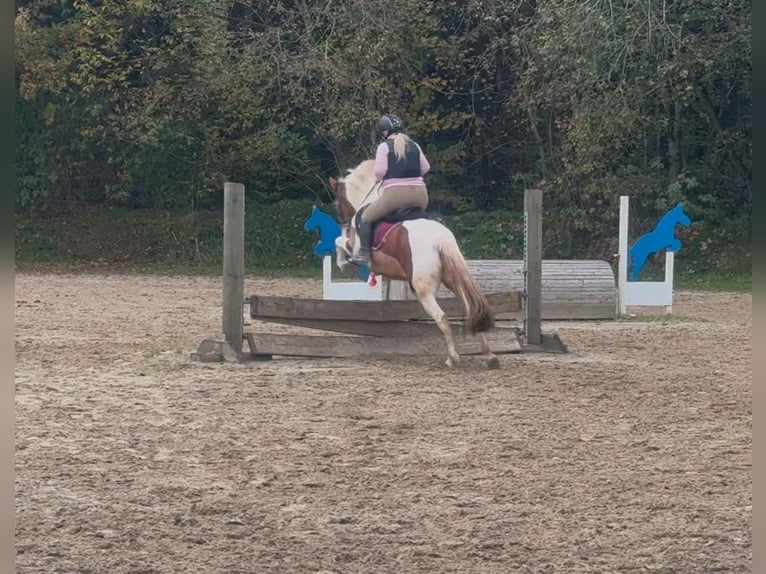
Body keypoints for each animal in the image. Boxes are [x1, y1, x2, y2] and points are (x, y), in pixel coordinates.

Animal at [330, 160, 504, 372]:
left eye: (337, 202)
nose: (344, 222)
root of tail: (439, 238)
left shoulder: (352, 245)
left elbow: (338, 241)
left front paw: (343, 264)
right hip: (453, 280)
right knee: (471, 309)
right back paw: (490, 356)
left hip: (422, 290)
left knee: (442, 317)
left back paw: (452, 358)